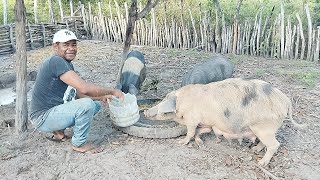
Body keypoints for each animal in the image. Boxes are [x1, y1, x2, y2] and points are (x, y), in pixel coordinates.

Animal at [144, 78, 306, 167]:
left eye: (163, 103)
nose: (146, 112)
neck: (183, 104)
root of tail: (286, 100)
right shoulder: (208, 123)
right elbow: (201, 131)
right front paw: (201, 143)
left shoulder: (192, 119)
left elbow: (190, 132)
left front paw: (181, 143)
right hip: (264, 130)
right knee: (265, 142)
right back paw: (254, 150)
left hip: (264, 128)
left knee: (275, 144)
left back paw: (261, 163)